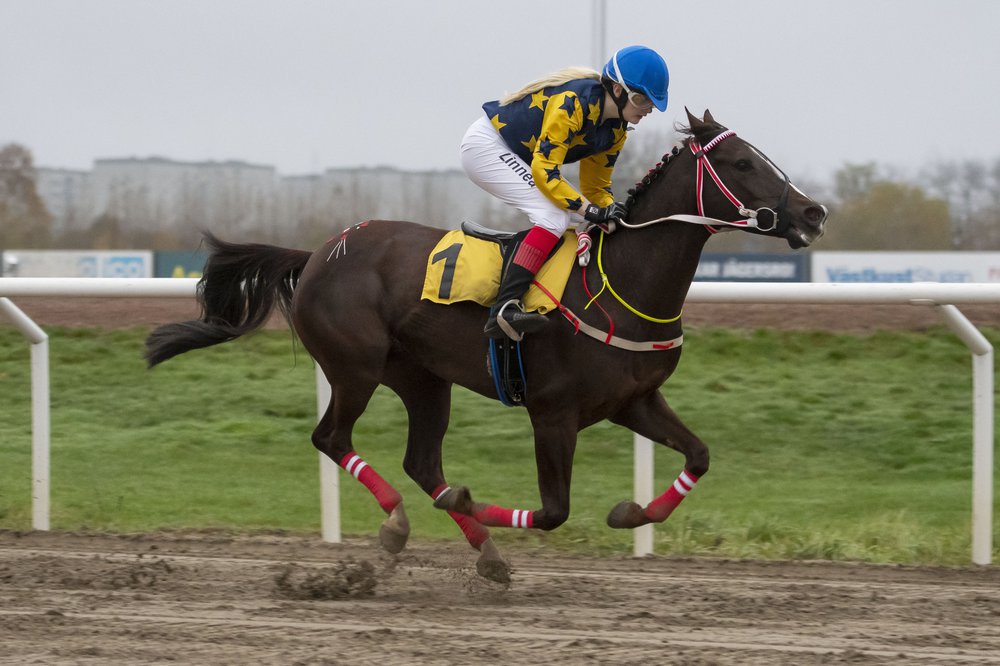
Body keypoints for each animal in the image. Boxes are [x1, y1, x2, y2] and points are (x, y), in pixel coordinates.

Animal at [143, 110, 828, 580]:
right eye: (741, 163)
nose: (813, 213)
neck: (619, 283)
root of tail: (317, 254)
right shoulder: (553, 414)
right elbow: (553, 512)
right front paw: (480, 503)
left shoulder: (634, 401)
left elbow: (700, 456)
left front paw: (629, 515)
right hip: (355, 367)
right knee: (332, 439)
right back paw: (401, 525)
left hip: (423, 378)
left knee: (422, 462)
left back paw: (483, 551)